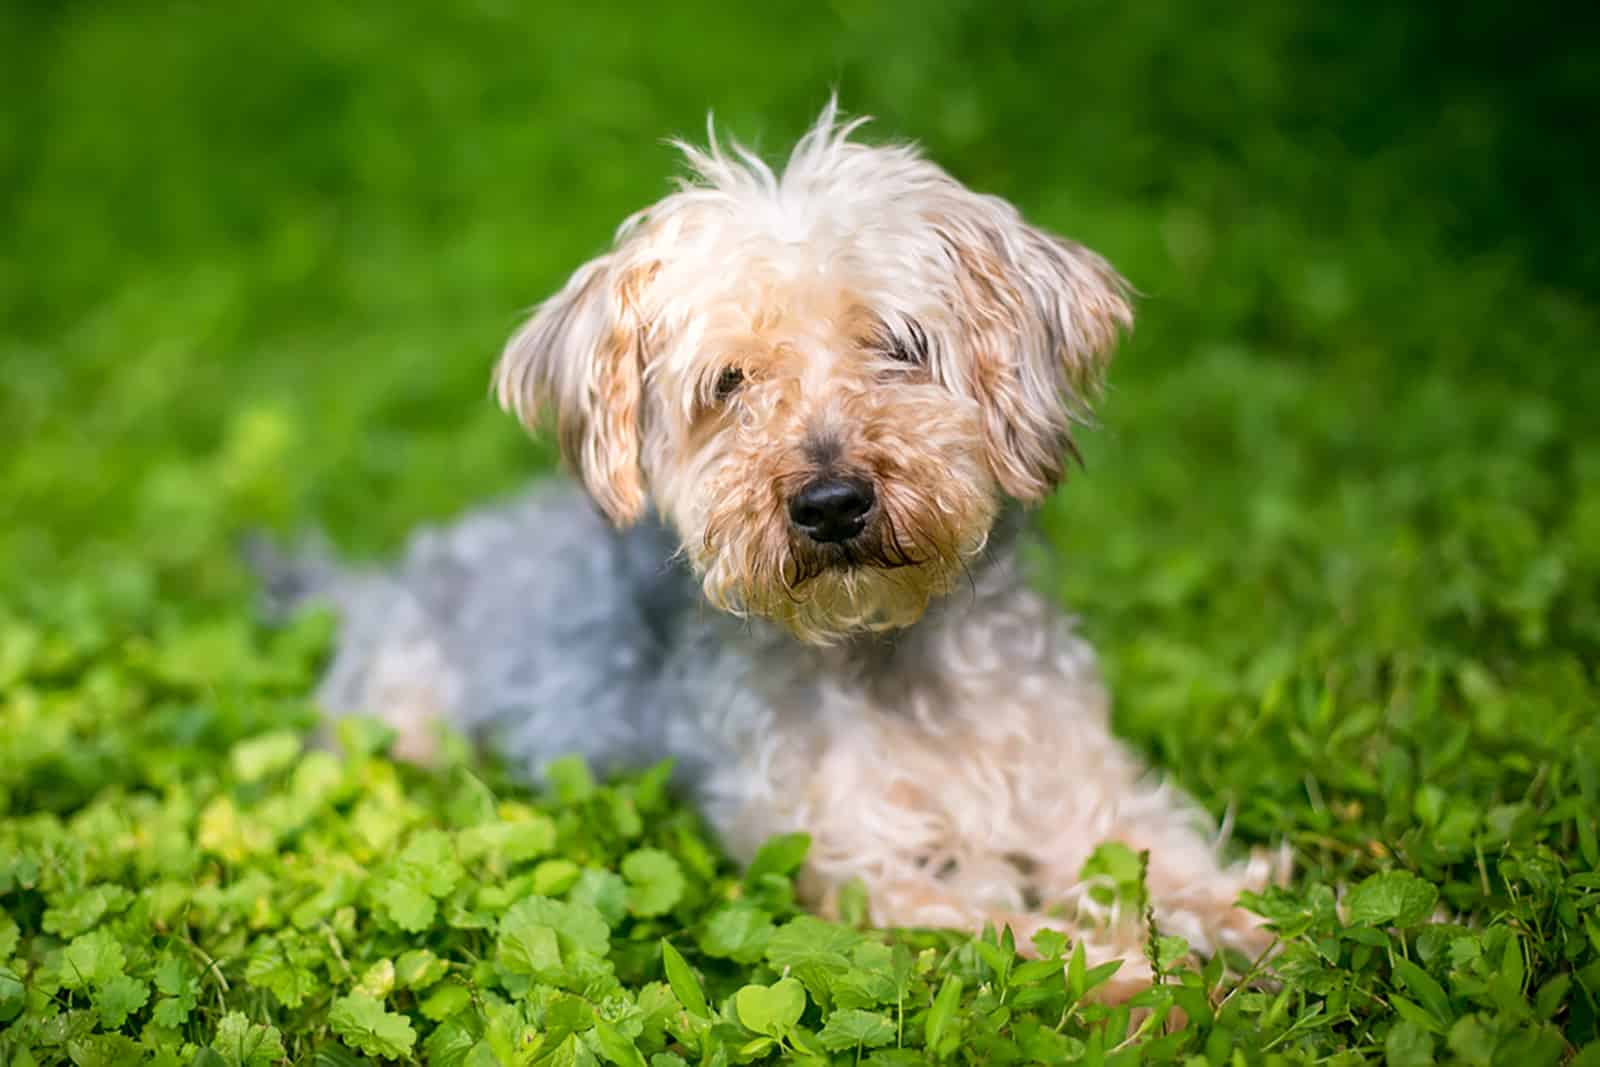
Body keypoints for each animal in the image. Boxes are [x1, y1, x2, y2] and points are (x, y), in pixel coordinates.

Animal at [265, 99, 1286, 991]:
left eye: (900, 344)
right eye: (729, 381)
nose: (831, 505)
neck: (890, 656)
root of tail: (377, 580)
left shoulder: (1087, 792)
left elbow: (1169, 862)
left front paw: (1259, 928)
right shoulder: (859, 870)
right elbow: (1019, 929)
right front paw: (1145, 975)